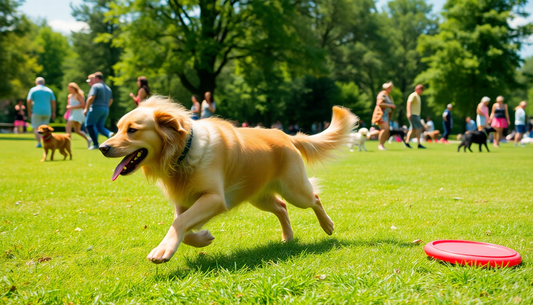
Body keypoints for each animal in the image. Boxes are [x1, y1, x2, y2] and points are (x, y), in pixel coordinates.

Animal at [100, 95, 358, 264]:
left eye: (132, 130)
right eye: (117, 128)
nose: (103, 147)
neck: (182, 152)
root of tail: (285, 135)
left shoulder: (215, 198)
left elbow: (180, 223)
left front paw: (163, 251)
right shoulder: (183, 201)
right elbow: (182, 225)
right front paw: (203, 238)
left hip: (294, 189)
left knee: (314, 197)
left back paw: (327, 225)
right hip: (259, 195)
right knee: (282, 207)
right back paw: (287, 237)